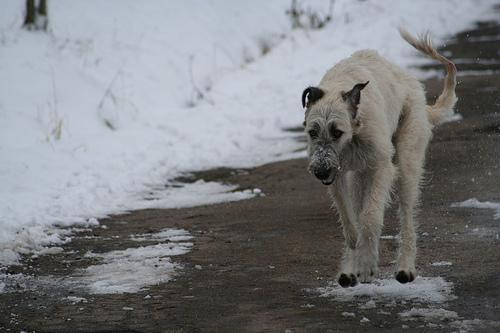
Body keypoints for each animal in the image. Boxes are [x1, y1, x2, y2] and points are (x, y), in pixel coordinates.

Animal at [300, 29, 458, 286]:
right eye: (312, 132)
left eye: (337, 132)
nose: (320, 171)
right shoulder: (339, 175)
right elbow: (348, 216)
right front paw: (354, 249)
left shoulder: (382, 167)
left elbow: (371, 216)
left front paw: (366, 264)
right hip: (359, 176)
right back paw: (350, 267)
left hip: (406, 161)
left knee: (407, 217)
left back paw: (405, 267)